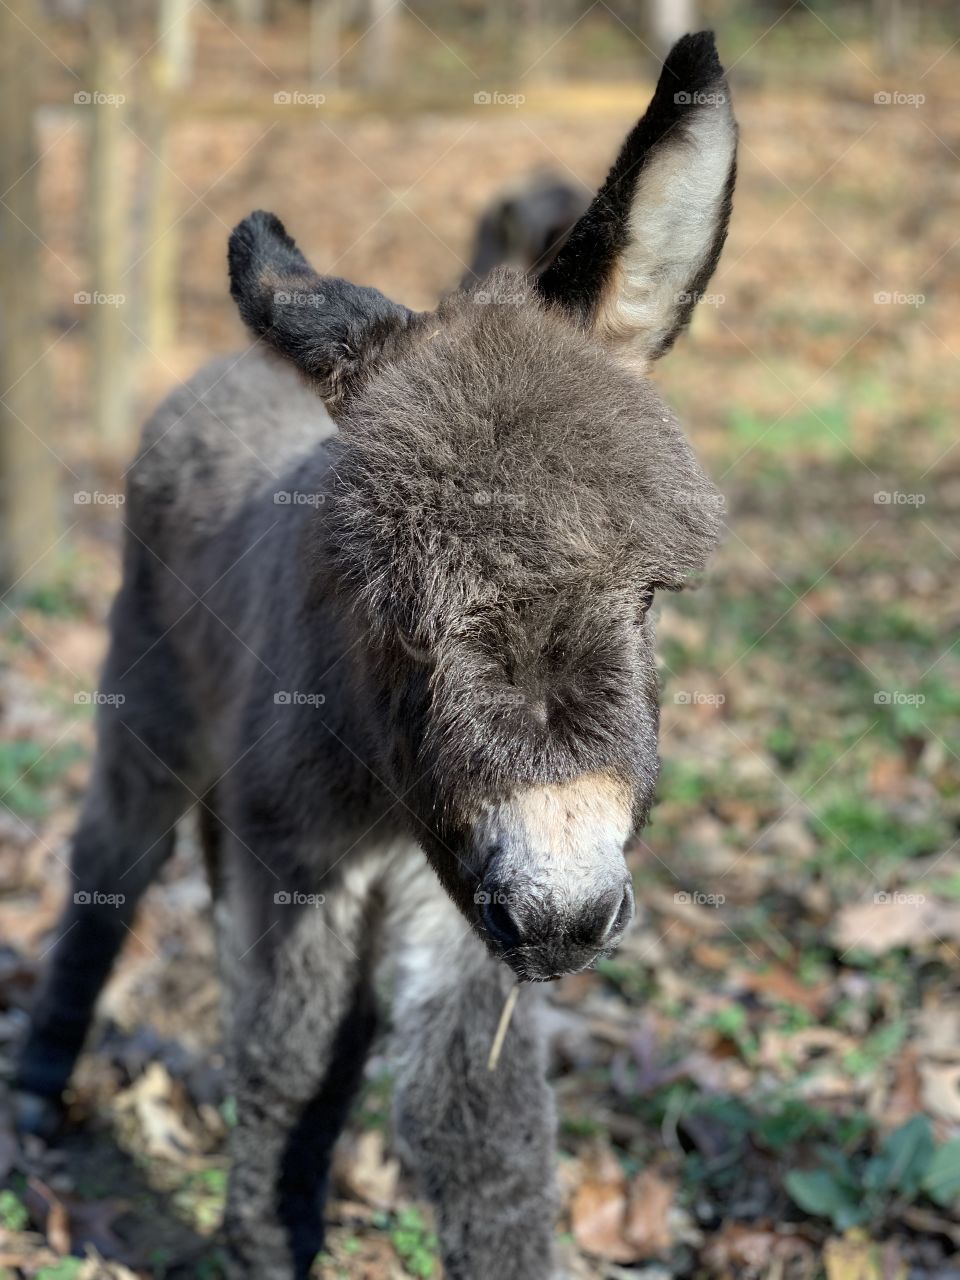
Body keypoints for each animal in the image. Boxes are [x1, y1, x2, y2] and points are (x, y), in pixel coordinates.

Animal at [16, 30, 742, 1280]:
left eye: (647, 594)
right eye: (398, 606)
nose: (565, 914)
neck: (384, 792)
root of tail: (226, 365)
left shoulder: (448, 898)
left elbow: (482, 1125)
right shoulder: (317, 862)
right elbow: (293, 1063)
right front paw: (264, 1242)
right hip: (147, 709)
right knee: (109, 865)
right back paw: (39, 1089)